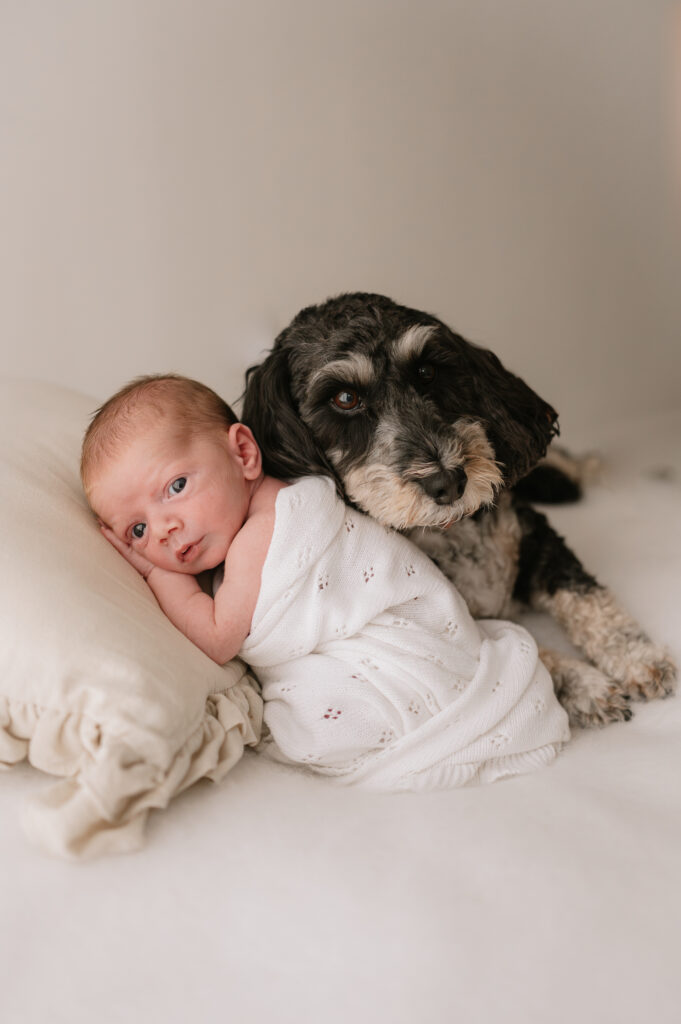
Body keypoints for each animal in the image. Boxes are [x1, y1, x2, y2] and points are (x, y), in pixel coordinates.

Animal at [241, 288, 671, 724]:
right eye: (345, 398)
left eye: (426, 372)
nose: (448, 481)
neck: (453, 532)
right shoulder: (453, 633)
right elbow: (532, 654)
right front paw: (586, 685)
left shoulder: (535, 535)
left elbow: (584, 594)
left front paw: (637, 656)